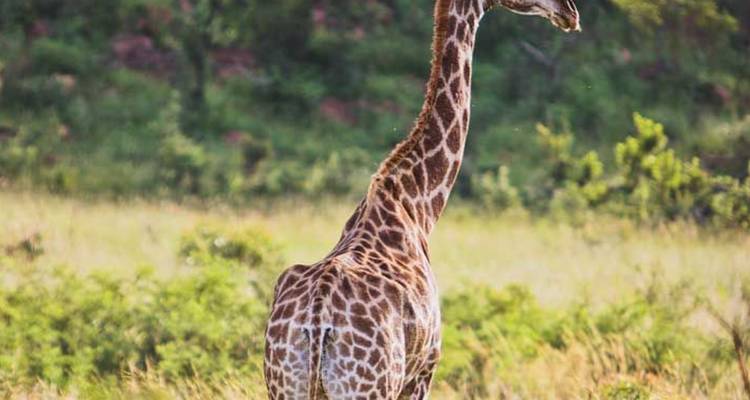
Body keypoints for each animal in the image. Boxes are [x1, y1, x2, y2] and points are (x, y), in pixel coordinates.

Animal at [264, 0, 580, 398]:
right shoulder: (425, 370)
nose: (571, 14)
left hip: (285, 382)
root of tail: (317, 319)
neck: (416, 203)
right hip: (369, 385)